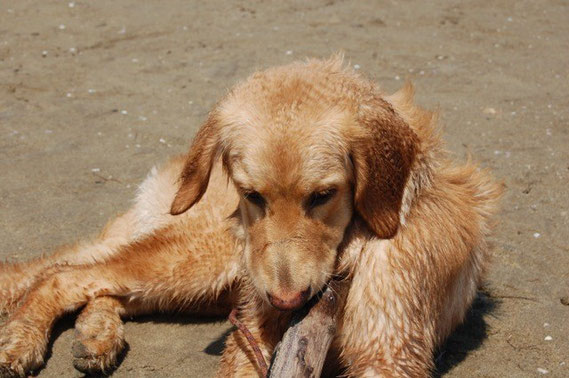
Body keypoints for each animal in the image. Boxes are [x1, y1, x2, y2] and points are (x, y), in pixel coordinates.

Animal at [0, 56, 500, 378]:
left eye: (323, 195)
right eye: (251, 194)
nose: (285, 300)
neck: (351, 252)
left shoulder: (387, 351)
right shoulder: (251, 333)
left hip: (201, 286)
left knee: (96, 284)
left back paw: (96, 336)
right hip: (204, 260)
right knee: (62, 274)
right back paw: (21, 340)